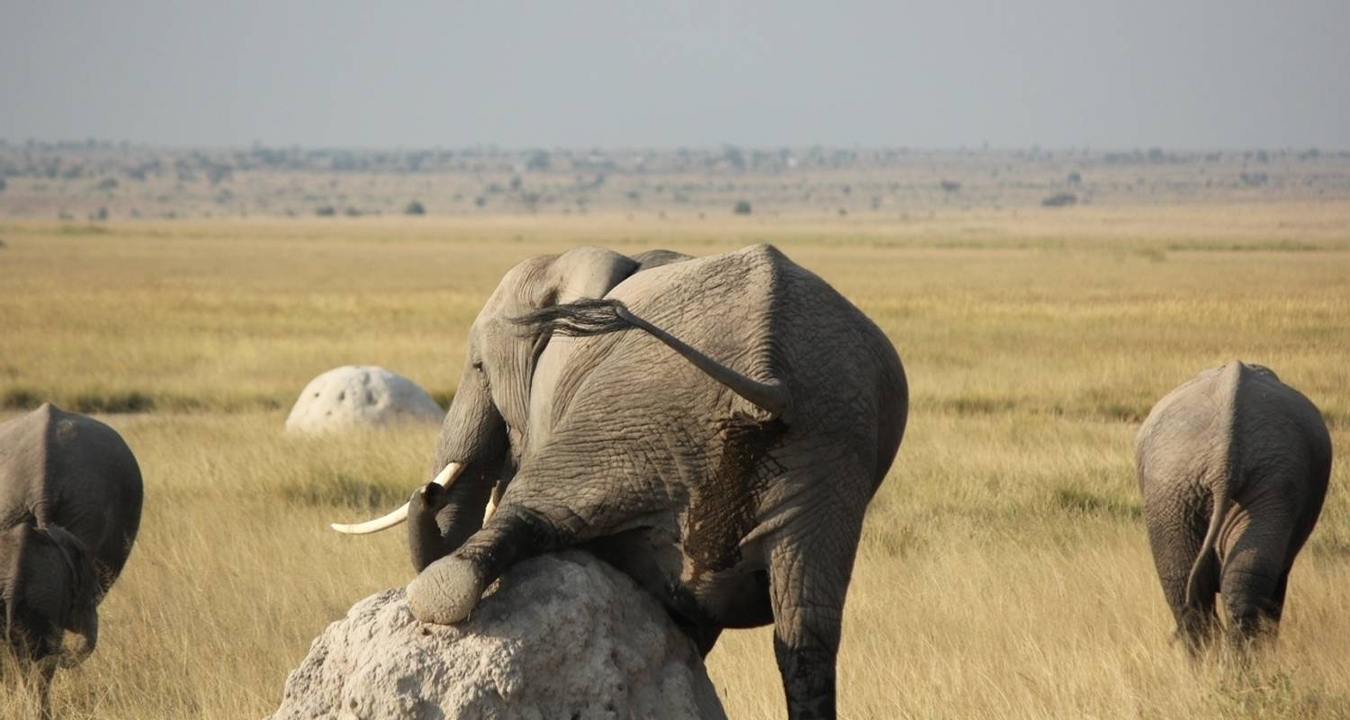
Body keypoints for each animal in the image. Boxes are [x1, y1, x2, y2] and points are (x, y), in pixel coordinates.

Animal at [334, 244, 908, 719]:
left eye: (478, 366)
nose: (429, 491)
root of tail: (769, 375)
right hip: (831, 460)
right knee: (806, 635)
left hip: (636, 408)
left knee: (530, 513)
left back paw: (438, 596)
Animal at [1136, 361, 1331, 657]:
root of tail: (1223, 462)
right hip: (1179, 487)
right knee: (1206, 583)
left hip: (1185, 485)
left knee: (1196, 586)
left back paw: (1218, 665)